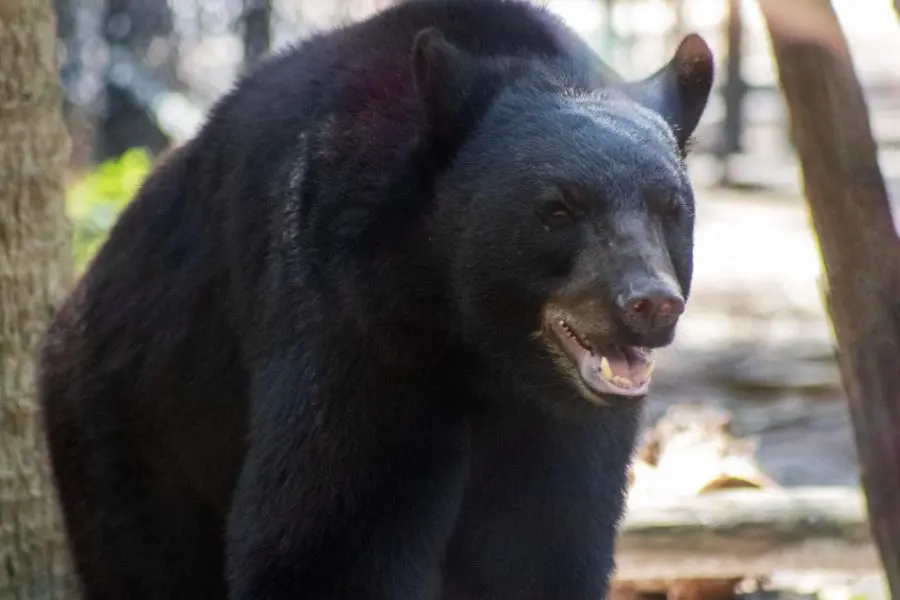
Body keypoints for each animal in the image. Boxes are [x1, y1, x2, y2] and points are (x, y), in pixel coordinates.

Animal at [38, 0, 712, 596]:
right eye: (559, 208)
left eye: (671, 207)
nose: (649, 304)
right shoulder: (353, 322)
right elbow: (332, 533)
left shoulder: (561, 425)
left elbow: (545, 543)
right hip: (139, 423)